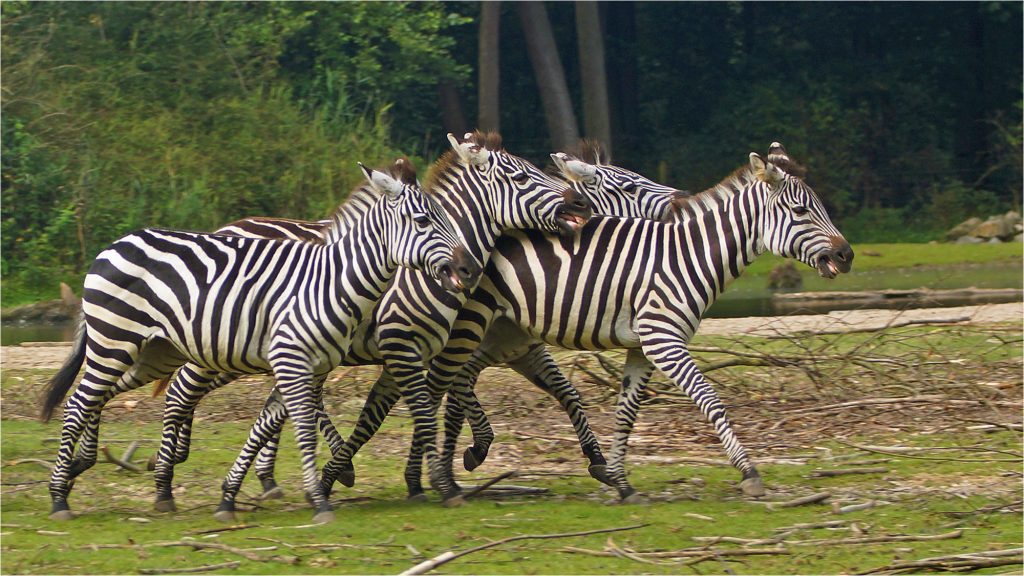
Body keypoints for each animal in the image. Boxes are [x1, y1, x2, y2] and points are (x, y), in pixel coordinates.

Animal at [39, 161, 479, 523]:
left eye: (445, 216)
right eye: (423, 220)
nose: (468, 268)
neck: (330, 282)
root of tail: (113, 245)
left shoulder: (309, 366)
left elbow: (267, 424)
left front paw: (232, 495)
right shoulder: (292, 359)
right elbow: (302, 425)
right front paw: (320, 499)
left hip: (152, 351)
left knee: (103, 395)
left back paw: (102, 474)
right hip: (115, 341)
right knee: (79, 402)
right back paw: (59, 497)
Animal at [144, 131, 593, 518]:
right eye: (521, 176)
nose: (579, 205)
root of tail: (223, 228)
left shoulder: (420, 350)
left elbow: (384, 414)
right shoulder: (408, 345)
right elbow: (426, 407)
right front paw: (436, 476)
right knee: (183, 389)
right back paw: (167, 479)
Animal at [415, 143, 854, 501]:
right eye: (801, 211)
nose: (847, 255)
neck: (688, 256)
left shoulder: (643, 347)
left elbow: (626, 412)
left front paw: (621, 482)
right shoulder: (664, 340)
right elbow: (709, 399)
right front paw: (749, 472)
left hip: (506, 335)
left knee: (459, 379)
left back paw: (456, 464)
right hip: (473, 325)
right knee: (443, 382)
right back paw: (438, 475)